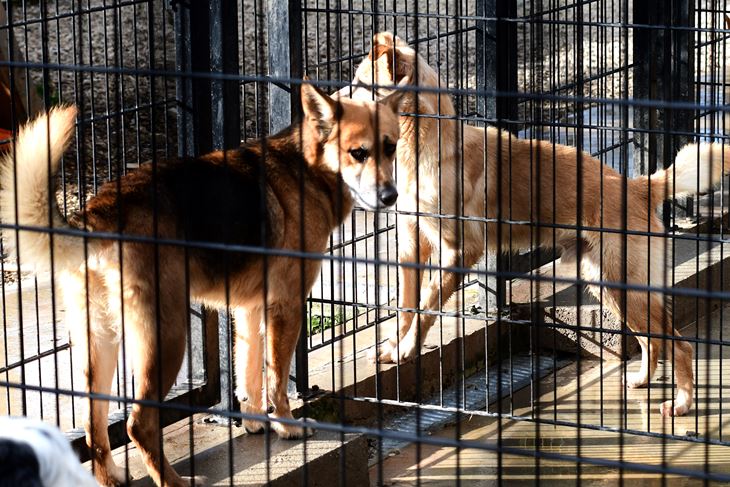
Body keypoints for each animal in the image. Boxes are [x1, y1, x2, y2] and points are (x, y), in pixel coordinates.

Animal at [0, 82, 404, 486]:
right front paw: (286, 426)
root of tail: (96, 216)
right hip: (167, 339)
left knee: (93, 420)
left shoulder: (250, 311)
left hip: (101, 343)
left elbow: (249, 373)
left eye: (390, 147)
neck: (307, 166)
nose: (391, 197)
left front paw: (255, 421)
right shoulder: (285, 307)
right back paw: (173, 481)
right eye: (357, 153)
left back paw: (111, 475)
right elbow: (276, 376)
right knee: (138, 424)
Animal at [342, 31, 728, 420]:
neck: (424, 143)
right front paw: (395, 348)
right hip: (608, 285)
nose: (330, 104)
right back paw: (642, 381)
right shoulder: (411, 246)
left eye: (359, 84)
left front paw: (406, 348)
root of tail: (639, 186)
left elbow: (427, 304)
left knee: (679, 345)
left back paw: (682, 403)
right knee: (653, 341)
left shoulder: (459, 251)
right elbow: (408, 307)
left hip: (626, 286)